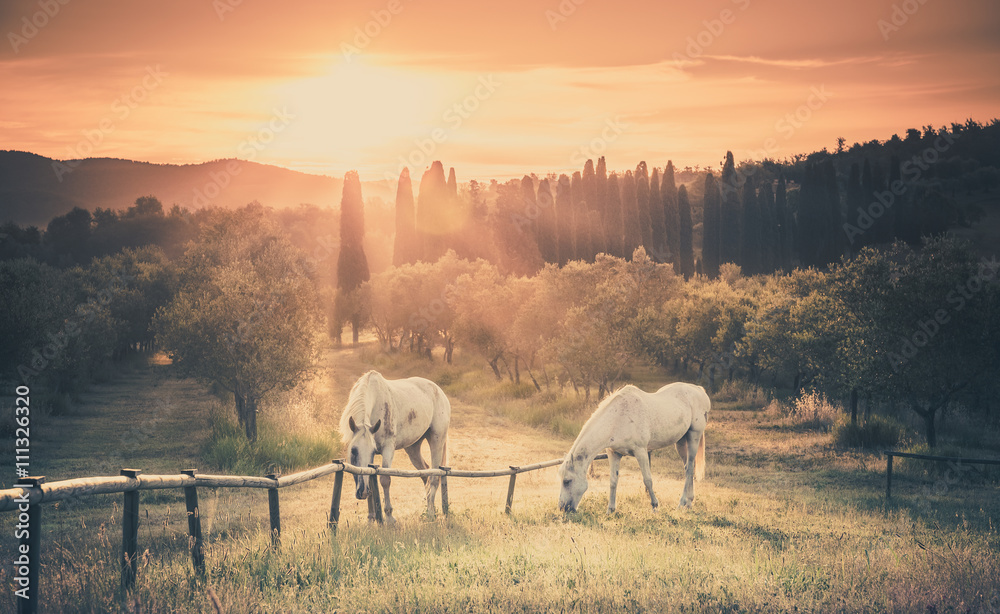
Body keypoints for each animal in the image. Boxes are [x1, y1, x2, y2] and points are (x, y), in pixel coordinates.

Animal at [339, 370, 451, 521]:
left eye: (373, 451)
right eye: (353, 450)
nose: (362, 492)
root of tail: (439, 390)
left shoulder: (388, 448)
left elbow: (385, 480)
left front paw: (389, 517)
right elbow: (371, 480)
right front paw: (371, 518)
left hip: (437, 440)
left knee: (434, 477)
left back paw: (431, 514)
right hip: (413, 448)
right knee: (425, 473)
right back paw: (428, 509)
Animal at [557, 382, 710, 513]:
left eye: (567, 481)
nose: (562, 508)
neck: (618, 418)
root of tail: (698, 389)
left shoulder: (641, 451)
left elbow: (647, 480)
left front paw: (655, 506)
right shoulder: (614, 453)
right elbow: (613, 481)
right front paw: (610, 510)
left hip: (694, 436)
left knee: (689, 468)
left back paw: (682, 503)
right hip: (680, 441)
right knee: (688, 467)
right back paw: (688, 503)